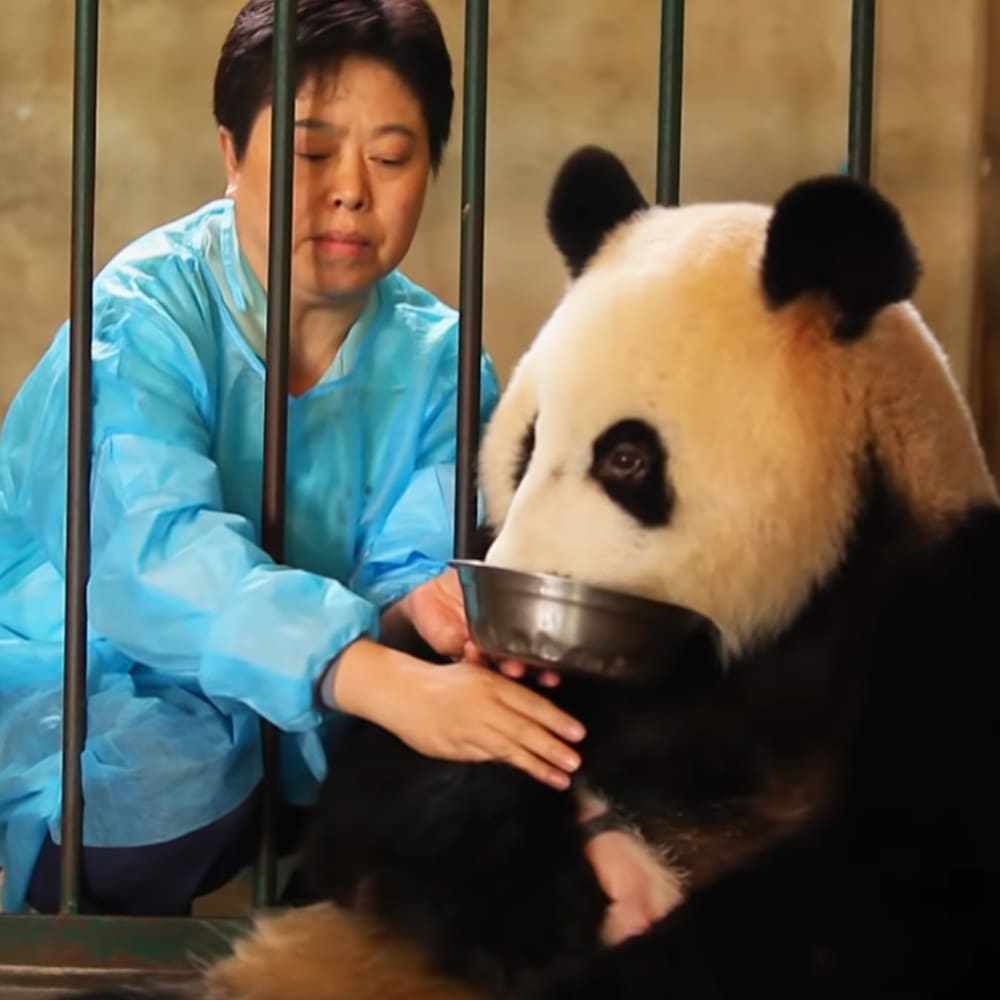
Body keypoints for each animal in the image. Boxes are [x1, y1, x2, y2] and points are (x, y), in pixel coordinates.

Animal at [79, 147, 1000, 1000]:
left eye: (626, 457)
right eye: (525, 443)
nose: (519, 590)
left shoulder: (933, 627)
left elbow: (874, 903)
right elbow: (381, 790)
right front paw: (541, 881)